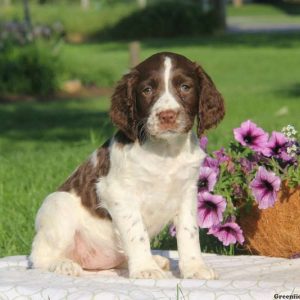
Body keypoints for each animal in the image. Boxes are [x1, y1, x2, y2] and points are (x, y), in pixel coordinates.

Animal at [30, 51, 224, 278]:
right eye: (147, 90)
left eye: (185, 87)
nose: (167, 116)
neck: (165, 151)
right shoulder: (118, 192)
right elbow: (136, 233)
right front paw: (146, 269)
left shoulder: (187, 193)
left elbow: (189, 233)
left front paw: (195, 268)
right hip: (58, 206)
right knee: (39, 257)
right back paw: (63, 265)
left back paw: (156, 260)